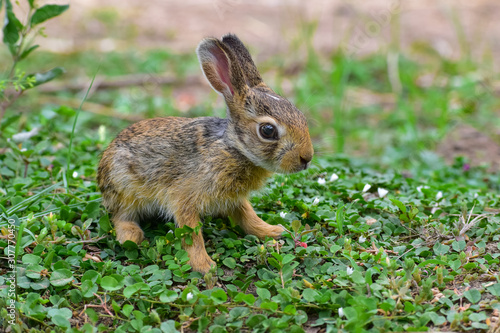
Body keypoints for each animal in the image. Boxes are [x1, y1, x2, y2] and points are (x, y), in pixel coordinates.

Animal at [97, 33, 314, 272]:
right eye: (268, 130)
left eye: (300, 116)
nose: (307, 158)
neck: (234, 149)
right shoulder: (184, 199)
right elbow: (191, 234)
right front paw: (204, 265)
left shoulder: (234, 199)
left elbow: (248, 216)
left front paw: (272, 231)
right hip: (124, 187)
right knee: (120, 215)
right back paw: (131, 236)